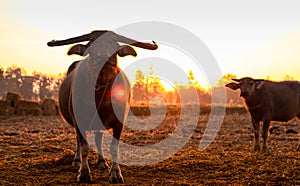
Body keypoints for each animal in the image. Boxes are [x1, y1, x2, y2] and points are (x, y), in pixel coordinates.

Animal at [47, 30, 157, 183]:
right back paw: (76, 160)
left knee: (98, 138)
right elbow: (85, 147)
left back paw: (101, 162)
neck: (100, 97)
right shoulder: (79, 121)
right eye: (91, 45)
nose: (103, 57)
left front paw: (115, 173)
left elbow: (114, 147)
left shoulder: (119, 123)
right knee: (78, 141)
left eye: (113, 44)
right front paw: (84, 173)